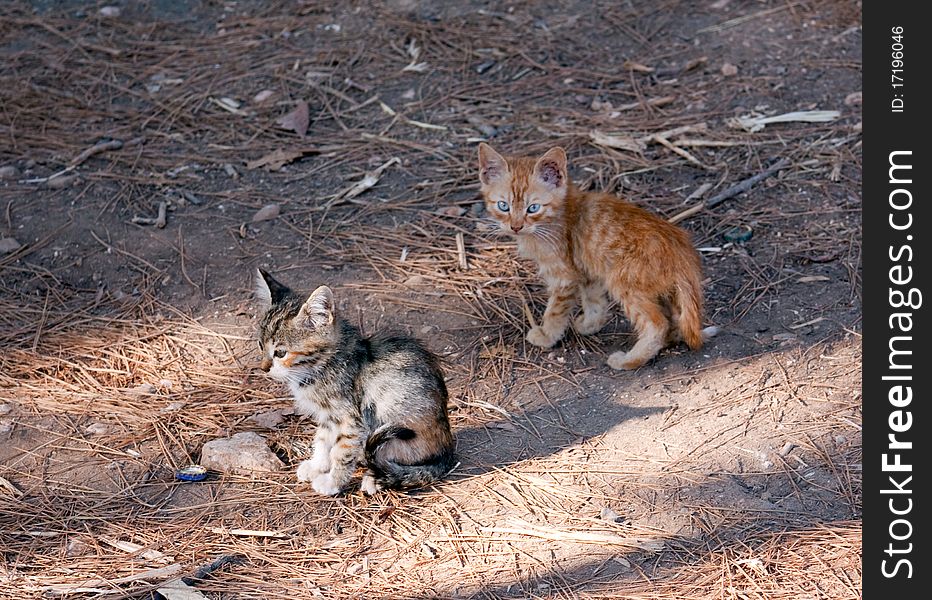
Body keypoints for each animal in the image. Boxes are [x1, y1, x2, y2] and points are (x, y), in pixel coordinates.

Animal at [255, 270, 456, 494]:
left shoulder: (351, 420)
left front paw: (332, 482)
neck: (322, 366)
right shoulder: (328, 416)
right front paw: (317, 465)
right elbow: (322, 439)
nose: (263, 368)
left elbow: (341, 452)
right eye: (260, 344)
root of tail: (447, 451)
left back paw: (375, 478)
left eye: (281, 353)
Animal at [476, 144, 716, 370]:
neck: (557, 216)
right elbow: (594, 301)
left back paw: (629, 360)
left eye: (533, 208)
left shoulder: (564, 277)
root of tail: (681, 249)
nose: (516, 227)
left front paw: (546, 335)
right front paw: (590, 324)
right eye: (503, 206)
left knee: (657, 324)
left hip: (624, 283)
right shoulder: (586, 269)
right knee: (677, 319)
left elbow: (555, 312)